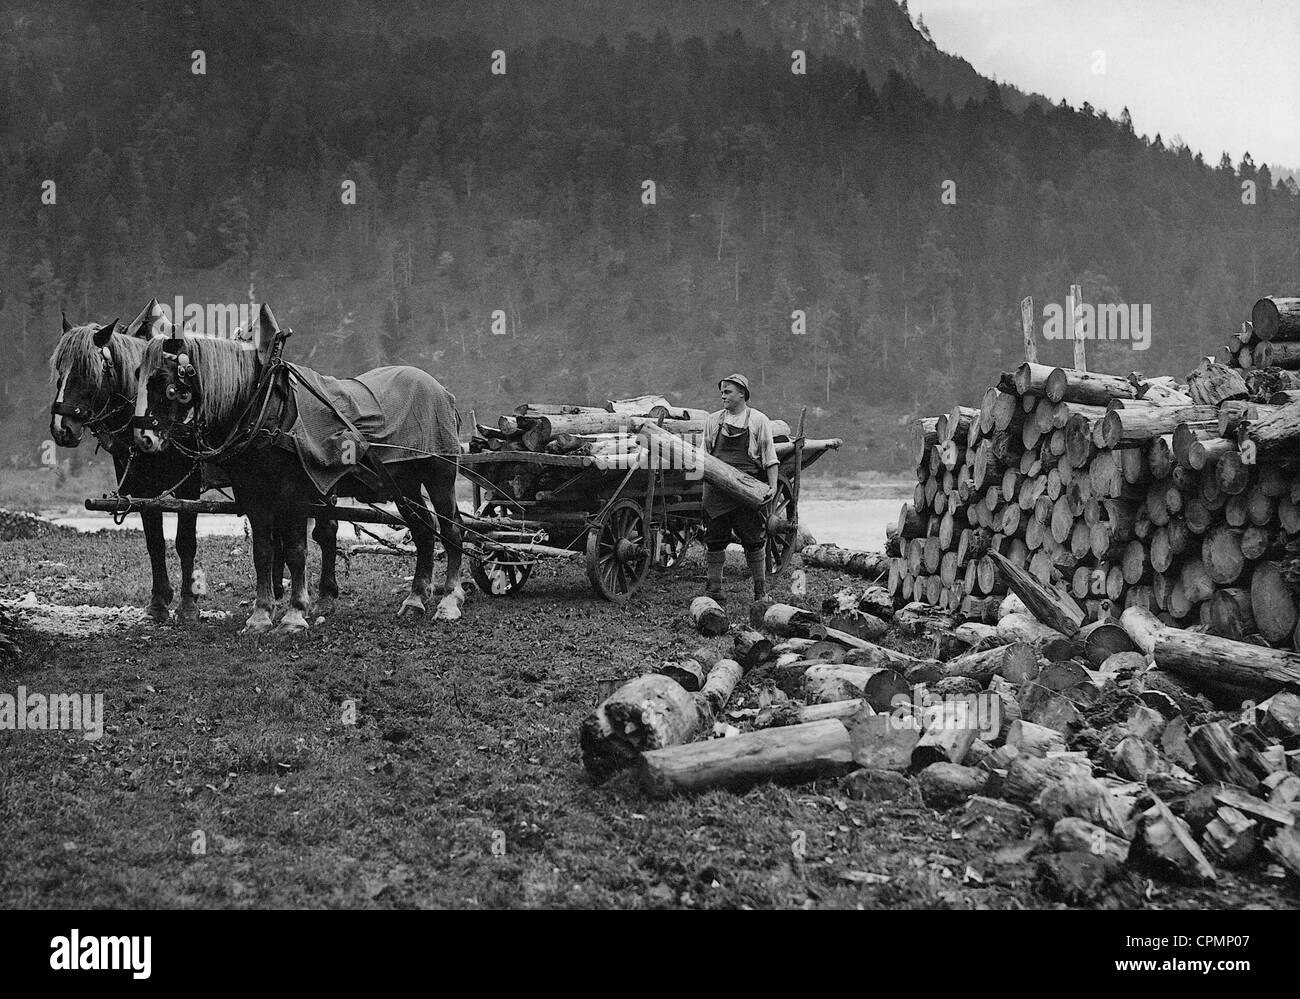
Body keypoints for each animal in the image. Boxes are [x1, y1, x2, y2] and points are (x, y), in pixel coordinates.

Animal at [133, 301, 462, 632]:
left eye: (166, 383)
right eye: (137, 375)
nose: (143, 438)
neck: (264, 404)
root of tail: (439, 389)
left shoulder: (294, 494)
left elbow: (295, 551)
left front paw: (294, 615)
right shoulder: (253, 493)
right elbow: (263, 551)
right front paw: (261, 615)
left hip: (440, 476)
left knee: (451, 529)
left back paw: (449, 599)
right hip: (405, 483)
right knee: (424, 530)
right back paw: (415, 599)